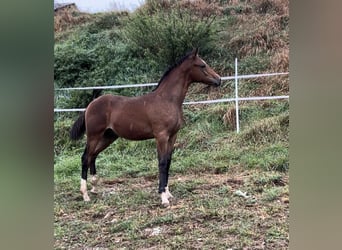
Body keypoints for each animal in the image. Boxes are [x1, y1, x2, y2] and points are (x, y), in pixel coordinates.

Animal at [69, 47, 222, 207]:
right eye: (202, 65)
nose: (219, 79)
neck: (167, 100)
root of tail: (90, 105)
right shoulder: (161, 136)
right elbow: (162, 162)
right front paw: (163, 197)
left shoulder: (172, 136)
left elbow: (168, 161)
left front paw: (168, 193)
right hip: (94, 135)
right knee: (85, 157)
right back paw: (85, 194)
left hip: (108, 136)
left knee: (93, 155)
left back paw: (94, 187)